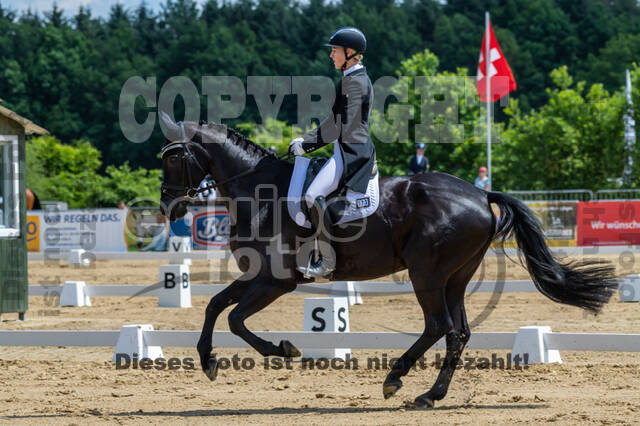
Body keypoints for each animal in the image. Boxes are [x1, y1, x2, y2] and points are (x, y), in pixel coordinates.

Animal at [158, 114, 618, 408]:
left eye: (173, 157)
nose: (167, 207)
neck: (260, 193)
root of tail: (480, 193)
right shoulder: (257, 275)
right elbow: (216, 305)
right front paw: (208, 361)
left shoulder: (276, 280)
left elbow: (236, 319)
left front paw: (284, 349)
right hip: (455, 276)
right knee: (458, 332)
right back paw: (429, 396)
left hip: (426, 273)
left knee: (438, 325)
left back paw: (395, 379)